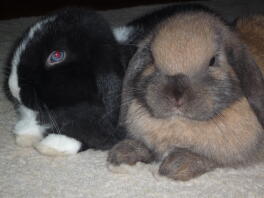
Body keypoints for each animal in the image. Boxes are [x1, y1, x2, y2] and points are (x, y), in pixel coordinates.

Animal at [107, 5, 264, 181]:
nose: (176, 96)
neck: (178, 122)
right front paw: (123, 153)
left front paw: (176, 165)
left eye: (213, 61)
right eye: (152, 59)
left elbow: (210, 159)